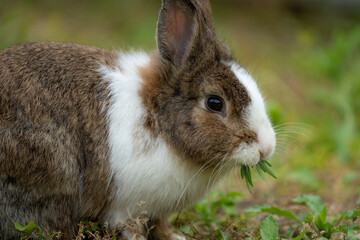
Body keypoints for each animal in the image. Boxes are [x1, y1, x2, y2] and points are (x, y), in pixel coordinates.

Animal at [0, 0, 276, 239]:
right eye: (215, 103)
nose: (266, 148)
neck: (159, 120)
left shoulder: (156, 211)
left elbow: (159, 226)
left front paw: (175, 237)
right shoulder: (124, 207)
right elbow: (127, 227)